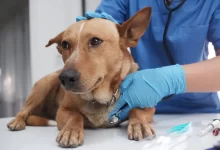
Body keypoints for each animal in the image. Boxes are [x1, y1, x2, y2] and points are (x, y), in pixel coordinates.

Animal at [6, 7, 155, 148]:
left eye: (95, 41)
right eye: (65, 44)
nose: (65, 78)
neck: (98, 98)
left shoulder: (148, 107)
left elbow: (136, 110)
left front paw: (139, 124)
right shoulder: (63, 111)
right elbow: (76, 116)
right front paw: (71, 130)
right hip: (44, 86)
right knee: (23, 111)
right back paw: (17, 122)